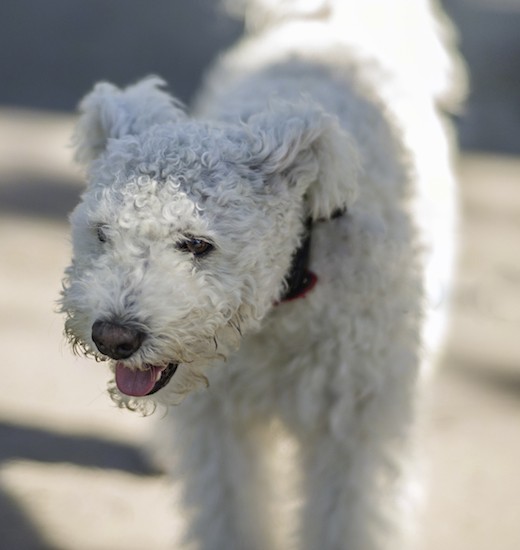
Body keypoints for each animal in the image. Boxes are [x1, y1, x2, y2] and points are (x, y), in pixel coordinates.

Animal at [59, 1, 466, 550]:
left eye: (197, 244)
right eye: (101, 233)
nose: (113, 337)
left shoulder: (352, 430)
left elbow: (347, 518)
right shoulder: (220, 428)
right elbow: (230, 512)